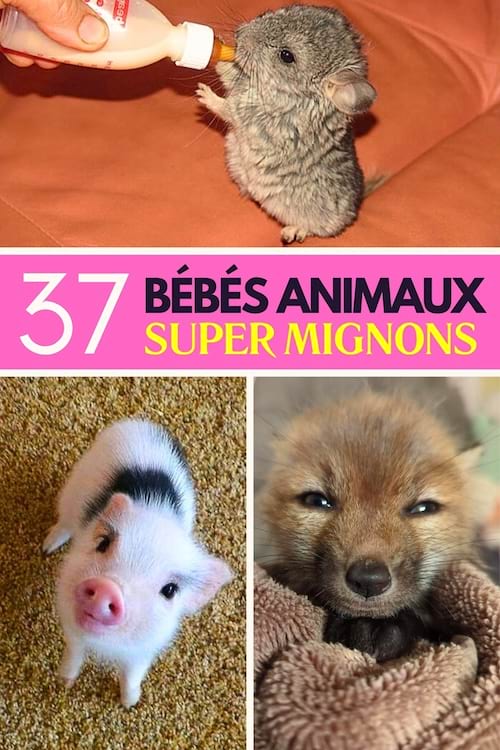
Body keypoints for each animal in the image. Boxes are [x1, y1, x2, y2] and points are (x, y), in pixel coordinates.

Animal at [43, 419, 233, 707]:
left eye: (170, 590)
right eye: (103, 543)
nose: (108, 588)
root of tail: (144, 424)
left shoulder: (147, 646)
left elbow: (133, 672)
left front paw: (129, 703)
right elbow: (74, 650)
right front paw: (64, 683)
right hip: (73, 488)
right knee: (64, 521)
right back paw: (46, 548)